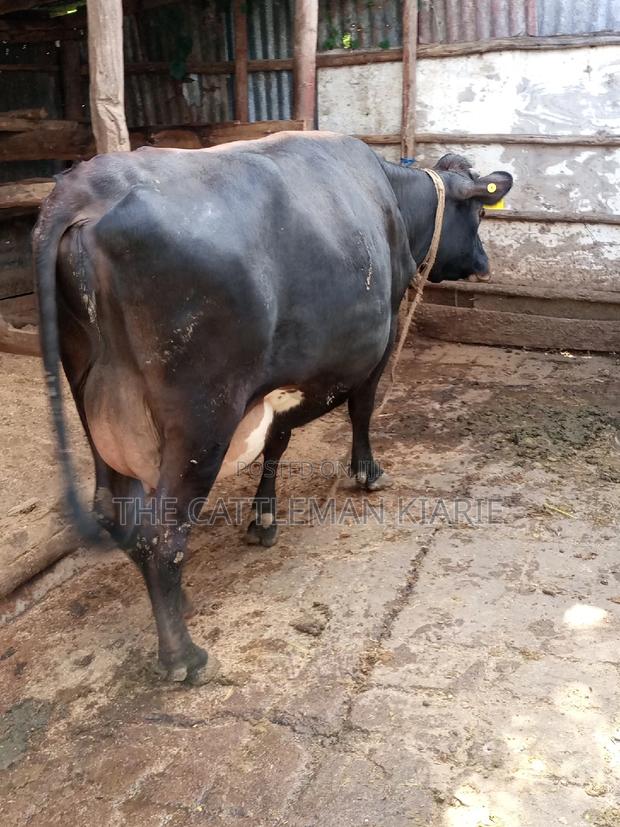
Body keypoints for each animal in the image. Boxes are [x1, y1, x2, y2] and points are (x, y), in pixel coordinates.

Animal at [33, 132, 512, 684]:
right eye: (477, 214)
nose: (484, 263)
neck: (392, 199)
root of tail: (87, 189)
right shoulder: (382, 332)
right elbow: (362, 408)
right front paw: (367, 472)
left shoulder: (282, 374)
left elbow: (277, 441)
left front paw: (263, 517)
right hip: (203, 416)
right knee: (162, 534)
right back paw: (184, 658)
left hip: (93, 404)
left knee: (117, 514)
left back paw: (180, 602)